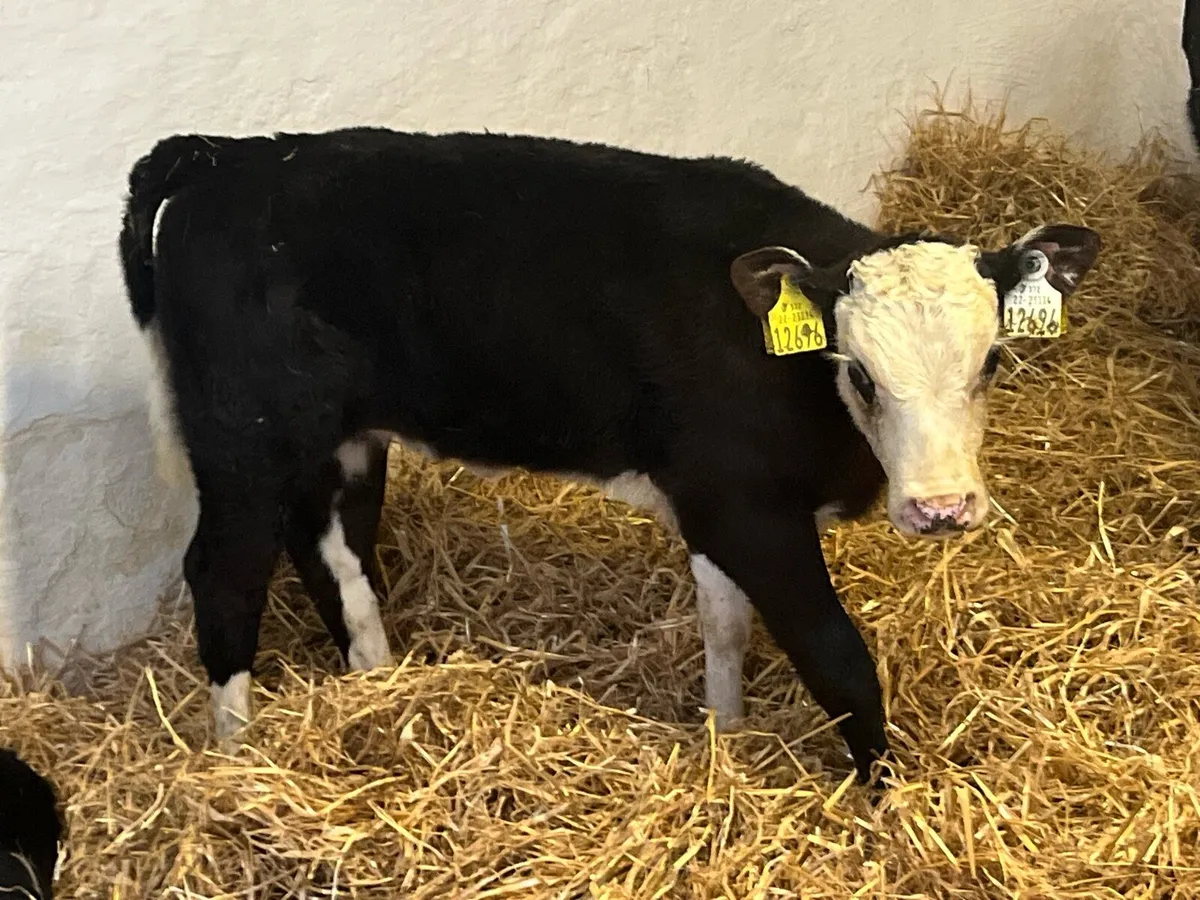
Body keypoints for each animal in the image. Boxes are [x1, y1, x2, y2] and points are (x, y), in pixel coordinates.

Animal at [118, 128, 1100, 785]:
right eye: (857, 371)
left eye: (993, 360)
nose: (943, 508)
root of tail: (226, 156)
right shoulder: (748, 511)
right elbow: (838, 660)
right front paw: (883, 798)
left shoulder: (716, 504)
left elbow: (725, 629)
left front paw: (724, 739)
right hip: (241, 440)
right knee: (225, 574)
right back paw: (238, 750)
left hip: (337, 440)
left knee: (336, 551)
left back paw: (377, 683)